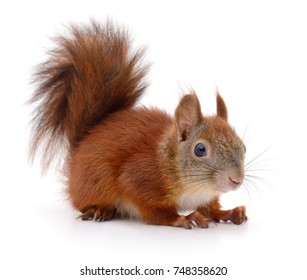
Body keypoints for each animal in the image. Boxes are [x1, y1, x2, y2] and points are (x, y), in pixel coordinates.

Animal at [29, 20, 248, 230]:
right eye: (200, 149)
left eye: (244, 147)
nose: (236, 180)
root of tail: (82, 143)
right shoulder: (139, 178)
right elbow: (157, 212)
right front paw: (185, 218)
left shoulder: (205, 197)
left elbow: (210, 209)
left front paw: (230, 213)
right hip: (95, 183)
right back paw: (100, 209)